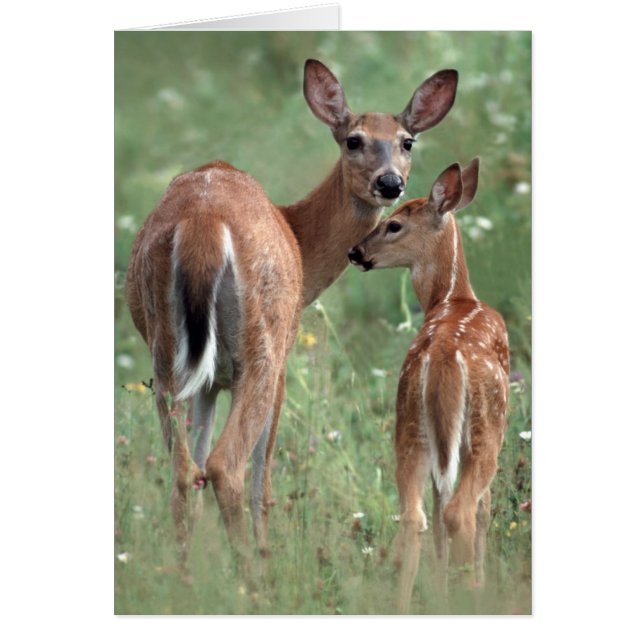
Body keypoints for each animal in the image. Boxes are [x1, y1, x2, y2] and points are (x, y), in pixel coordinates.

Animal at [124, 59, 459, 570]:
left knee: (186, 471)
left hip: (166, 355)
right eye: (353, 139)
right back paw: (253, 577)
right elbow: (263, 480)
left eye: (407, 141)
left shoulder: (208, 381)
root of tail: (202, 224)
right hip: (262, 343)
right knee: (227, 467)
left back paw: (183, 576)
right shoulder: (282, 361)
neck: (298, 234)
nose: (390, 183)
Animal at [348, 159, 509, 613]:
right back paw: (473, 596)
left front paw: (439, 589)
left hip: (409, 423)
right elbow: (482, 511)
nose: (354, 252)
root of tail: (441, 358)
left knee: (416, 515)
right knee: (462, 510)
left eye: (393, 224)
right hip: (485, 426)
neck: (453, 298)